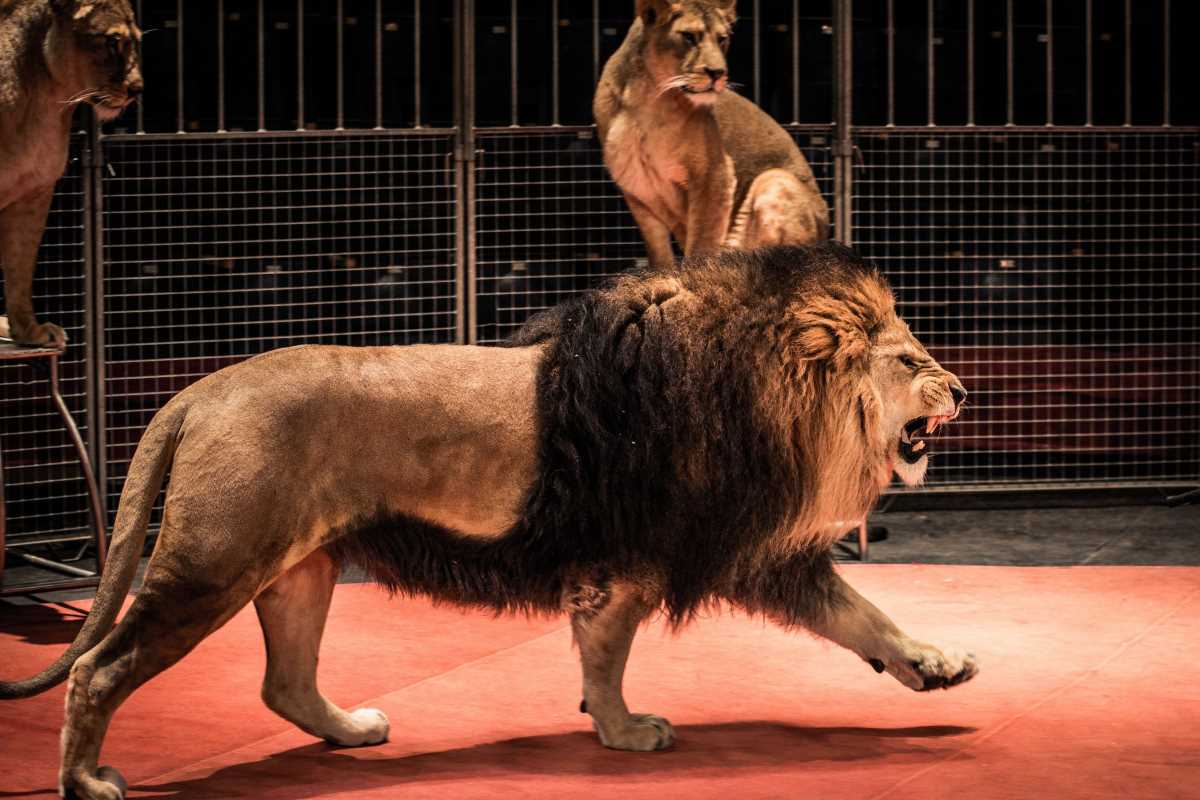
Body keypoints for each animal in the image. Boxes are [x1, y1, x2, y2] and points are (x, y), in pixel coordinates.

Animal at [0, 0, 142, 347]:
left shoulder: (35, 192)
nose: (138, 89)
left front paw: (29, 331)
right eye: (112, 41)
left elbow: (20, 266)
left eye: (136, 40)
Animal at [0, 244, 975, 800]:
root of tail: (199, 390)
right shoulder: (631, 560)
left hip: (299, 569)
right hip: (213, 562)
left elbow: (862, 615)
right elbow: (607, 659)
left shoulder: (747, 552)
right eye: (910, 359)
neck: (760, 389)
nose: (963, 389)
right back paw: (86, 780)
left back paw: (352, 730)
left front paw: (935, 664)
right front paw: (625, 732)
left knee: (282, 683)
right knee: (97, 668)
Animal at [594, 0, 830, 271]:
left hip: (774, 179)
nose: (718, 72)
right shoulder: (639, 193)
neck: (646, 100)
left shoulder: (715, 176)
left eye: (722, 39)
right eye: (688, 36)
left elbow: (701, 246)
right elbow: (659, 257)